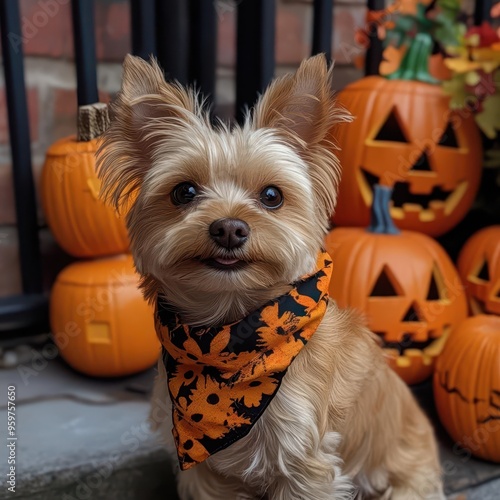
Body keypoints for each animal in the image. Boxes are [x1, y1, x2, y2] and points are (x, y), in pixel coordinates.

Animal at [95, 55, 444, 500]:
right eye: (184, 192)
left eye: (272, 196)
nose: (229, 228)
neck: (229, 337)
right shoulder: (206, 474)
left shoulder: (304, 466)